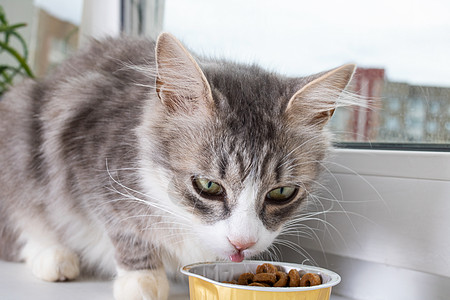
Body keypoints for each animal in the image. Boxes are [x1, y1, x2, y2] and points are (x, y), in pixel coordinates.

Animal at [0, 32, 356, 298]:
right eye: (208, 186)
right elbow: (125, 230)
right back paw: (54, 257)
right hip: (20, 131)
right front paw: (142, 281)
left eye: (282, 193)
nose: (242, 243)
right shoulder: (90, 168)